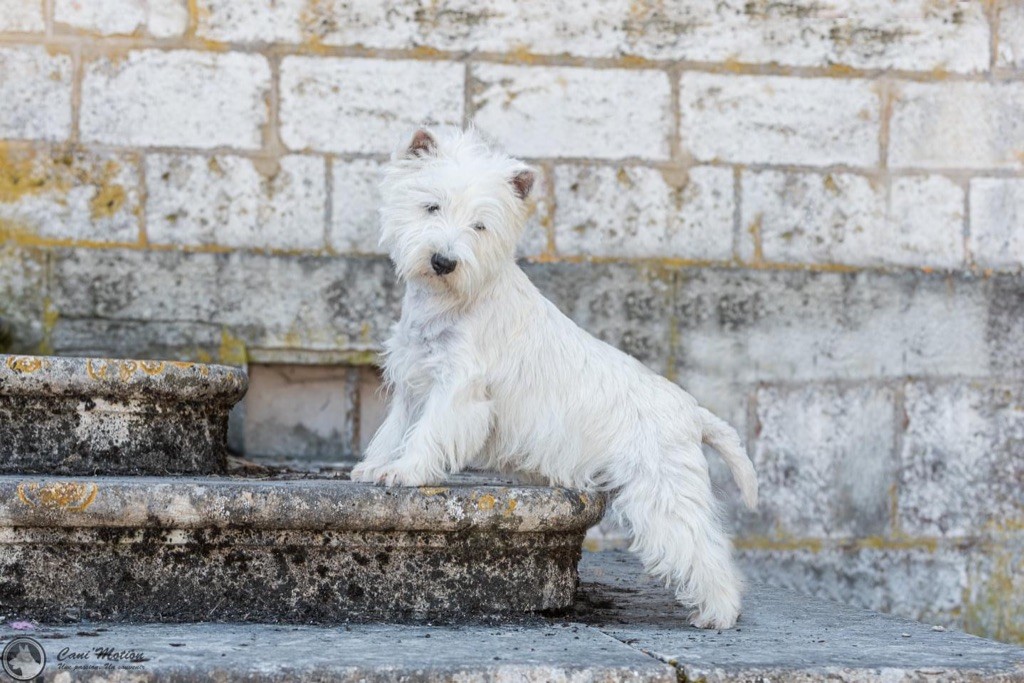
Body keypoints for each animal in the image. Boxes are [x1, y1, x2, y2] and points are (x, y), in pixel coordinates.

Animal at [352, 127, 761, 630]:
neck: (449, 301)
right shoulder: (413, 380)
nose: (444, 261)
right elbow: (394, 430)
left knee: (702, 545)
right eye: (432, 207)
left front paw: (405, 472)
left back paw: (718, 614)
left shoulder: (458, 389)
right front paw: (374, 466)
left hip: (662, 489)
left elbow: (428, 434)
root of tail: (692, 412)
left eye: (480, 226)